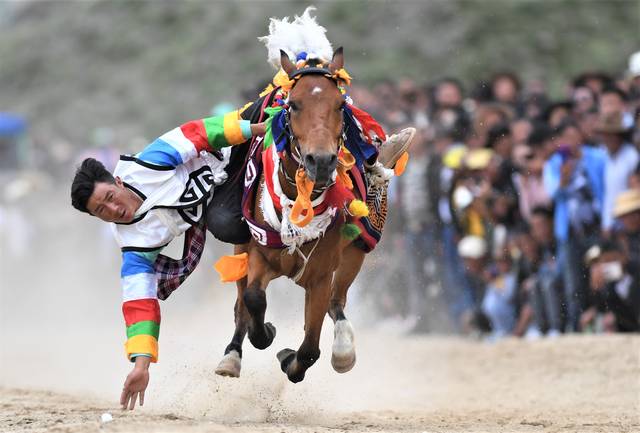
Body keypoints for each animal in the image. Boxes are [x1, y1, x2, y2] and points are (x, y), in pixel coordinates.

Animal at [218, 49, 370, 384]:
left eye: (339, 105)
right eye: (294, 105)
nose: (321, 161)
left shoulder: (321, 275)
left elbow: (310, 347)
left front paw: (289, 358)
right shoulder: (259, 253)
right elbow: (253, 299)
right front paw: (265, 333)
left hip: (354, 253)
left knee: (337, 302)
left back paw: (343, 348)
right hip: (241, 248)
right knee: (240, 305)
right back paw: (231, 357)